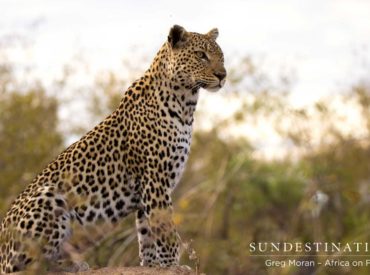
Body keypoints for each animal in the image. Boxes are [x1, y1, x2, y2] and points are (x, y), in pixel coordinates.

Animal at [0, 25, 225, 274]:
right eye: (201, 55)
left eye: (221, 56)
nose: (223, 75)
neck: (186, 103)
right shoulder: (156, 179)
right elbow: (165, 228)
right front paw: (172, 265)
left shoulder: (147, 188)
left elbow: (146, 231)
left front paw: (152, 264)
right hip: (48, 198)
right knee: (29, 267)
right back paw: (72, 266)